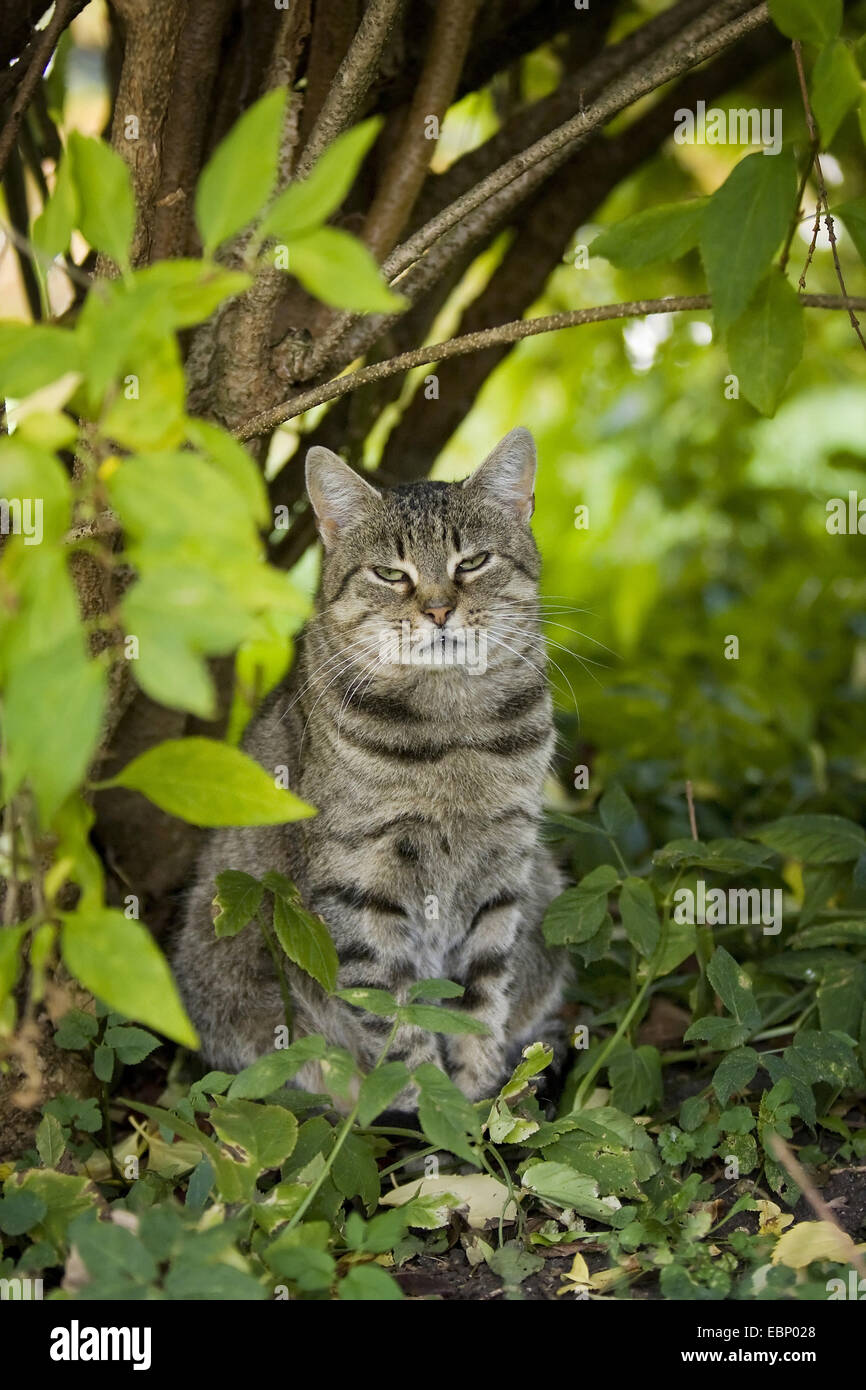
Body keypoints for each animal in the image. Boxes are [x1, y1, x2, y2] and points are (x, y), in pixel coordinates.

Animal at [175, 428, 569, 1100]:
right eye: (391, 574)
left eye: (472, 563)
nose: (438, 611)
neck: (452, 726)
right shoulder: (360, 883)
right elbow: (396, 1019)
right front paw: (430, 1108)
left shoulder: (504, 868)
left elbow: (481, 996)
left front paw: (478, 1097)